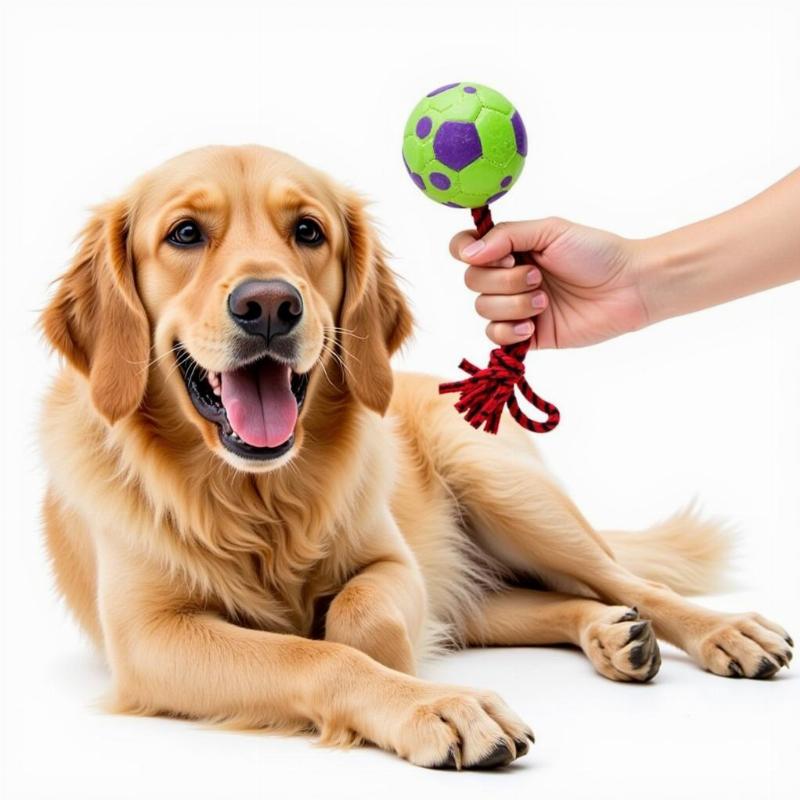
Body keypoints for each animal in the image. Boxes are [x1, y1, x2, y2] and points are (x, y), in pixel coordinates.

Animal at [42, 145, 792, 768]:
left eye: (308, 231)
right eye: (185, 234)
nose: (270, 305)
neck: (258, 497)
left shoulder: (394, 563)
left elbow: (357, 620)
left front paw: (408, 680)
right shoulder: (150, 637)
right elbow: (311, 657)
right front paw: (427, 701)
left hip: (500, 484)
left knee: (627, 581)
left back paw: (726, 632)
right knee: (556, 600)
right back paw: (612, 635)